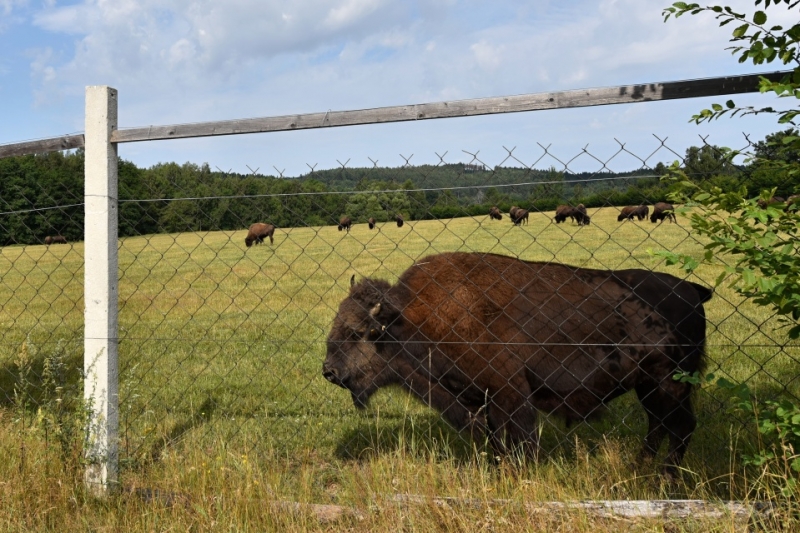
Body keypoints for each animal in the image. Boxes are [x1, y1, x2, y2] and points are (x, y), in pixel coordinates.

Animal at [324, 251, 712, 476]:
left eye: (361, 331)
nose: (329, 371)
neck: (411, 318)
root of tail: (691, 290)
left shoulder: (509, 395)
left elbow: (520, 440)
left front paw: (521, 475)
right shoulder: (480, 401)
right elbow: (497, 442)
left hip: (671, 383)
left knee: (682, 426)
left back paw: (664, 476)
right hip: (649, 387)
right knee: (659, 425)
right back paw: (639, 467)